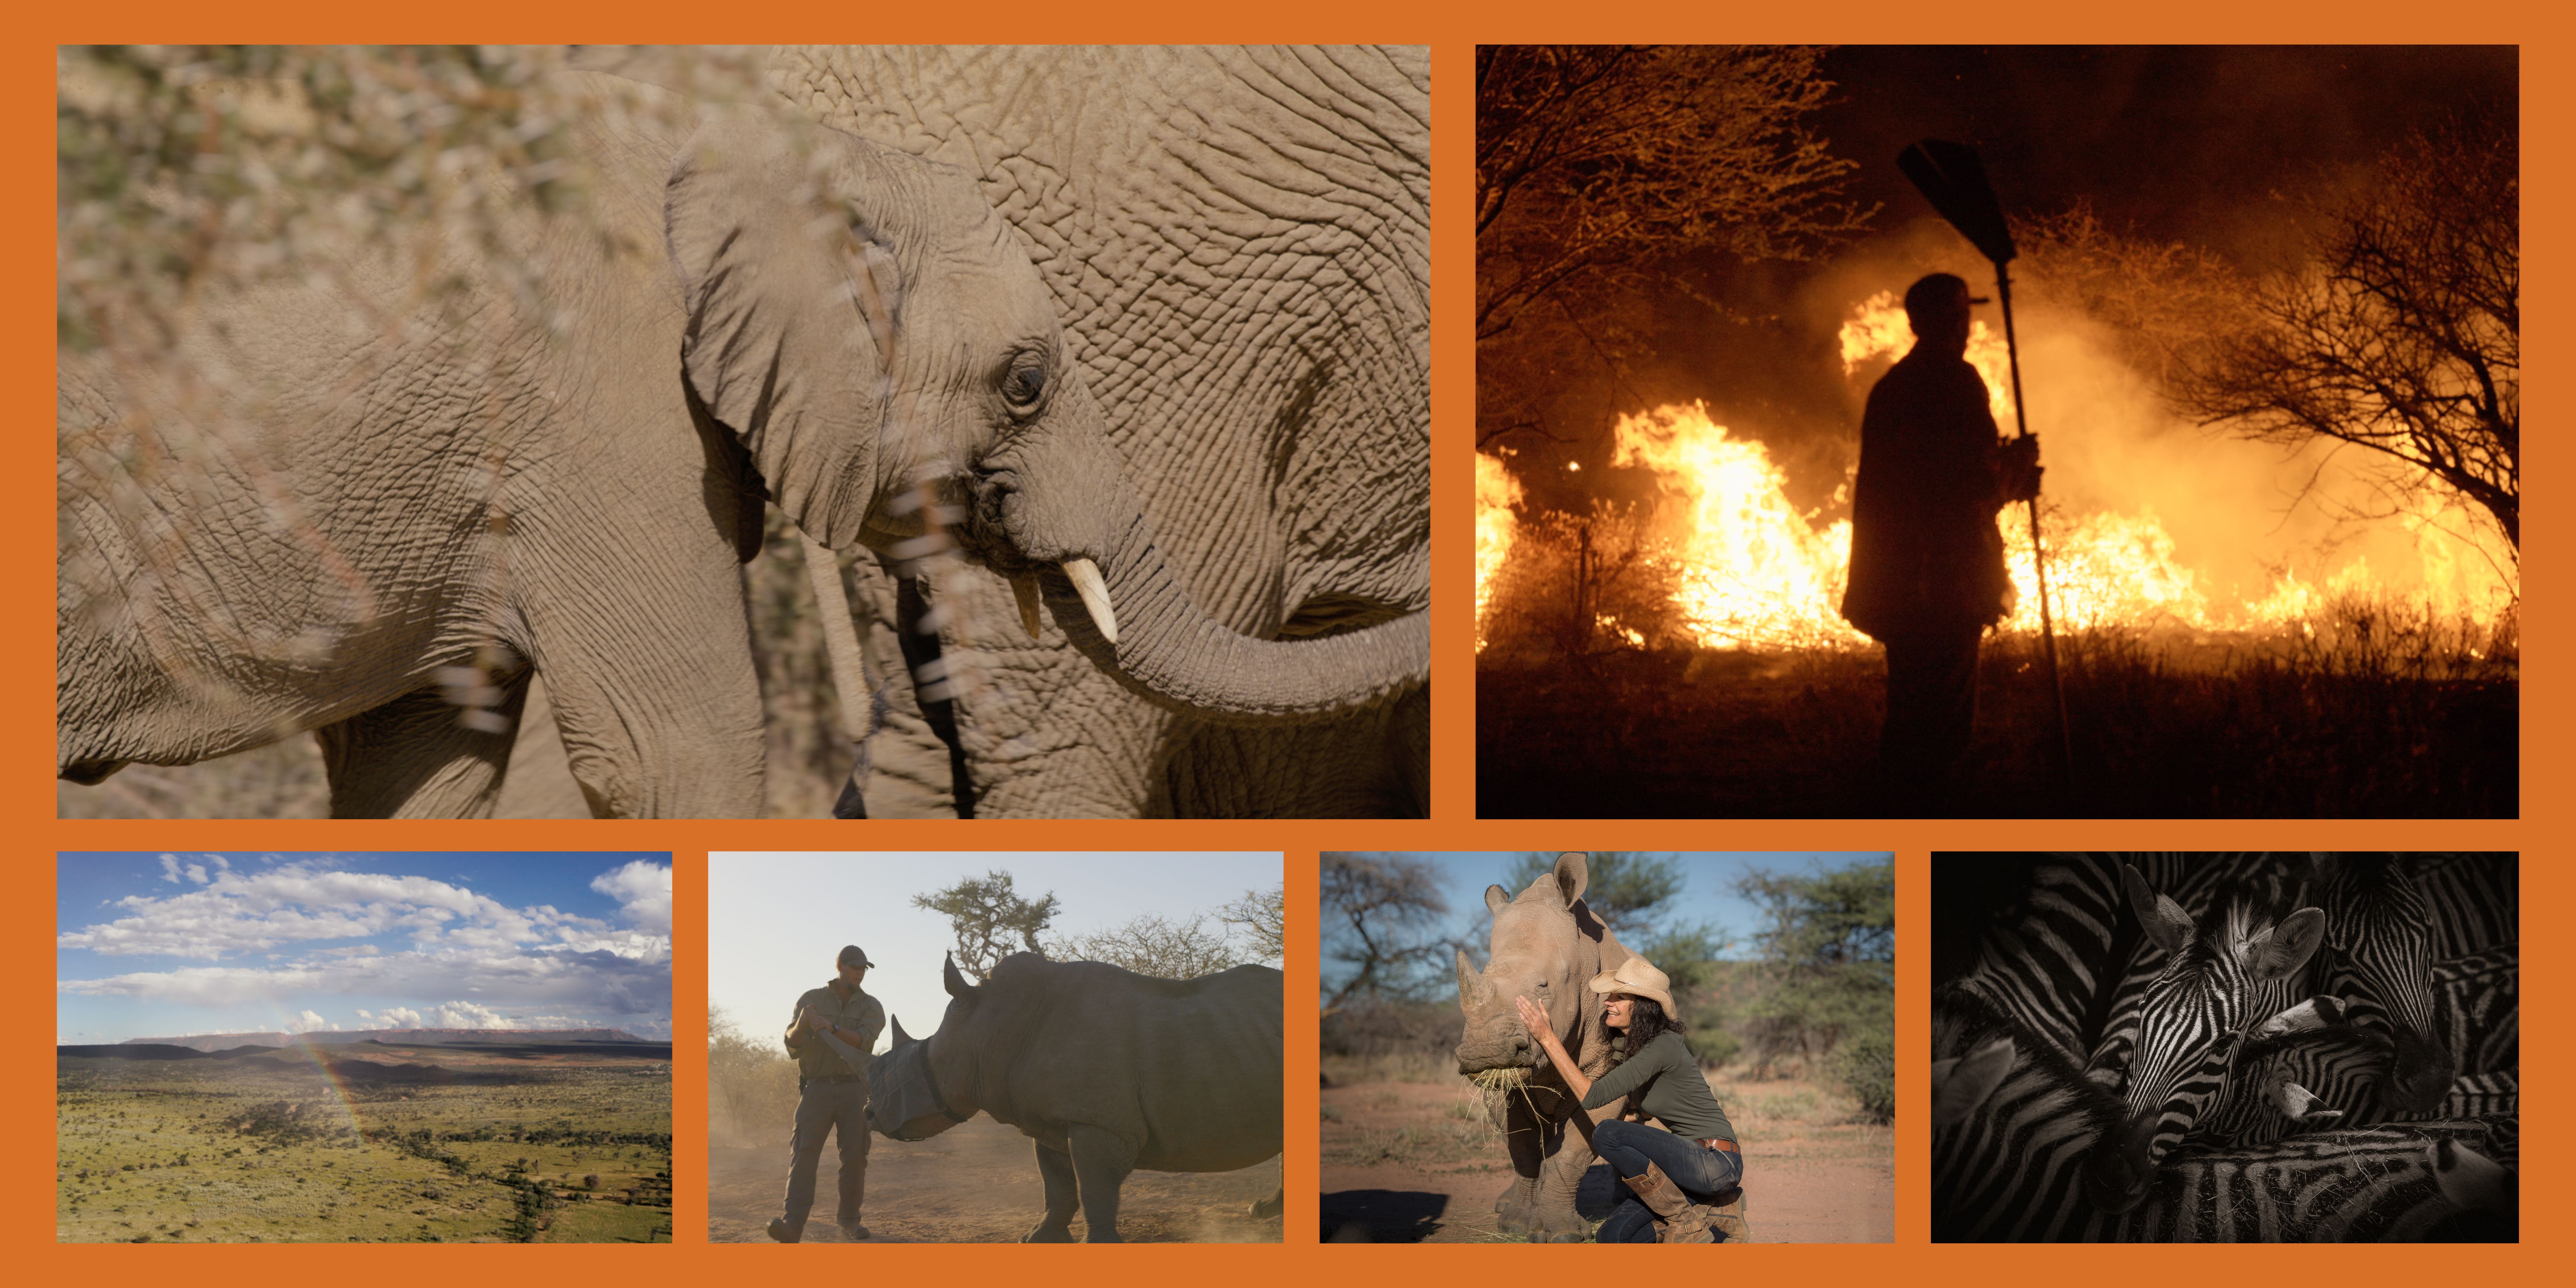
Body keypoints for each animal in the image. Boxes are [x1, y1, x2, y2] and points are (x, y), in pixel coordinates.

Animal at [854, 951, 1284, 1242]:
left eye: (908, 1073)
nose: (869, 1115)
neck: (989, 1029)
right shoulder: (1049, 1117)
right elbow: (1057, 1184)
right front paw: (1036, 1239)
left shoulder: (1099, 1121)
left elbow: (1094, 1186)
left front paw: (1099, 1246)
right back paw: (1263, 1213)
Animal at [1454, 851, 1634, 1242]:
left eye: (1544, 987)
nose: (1484, 1053)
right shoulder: (1506, 1081)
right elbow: (1522, 1147)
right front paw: (1515, 1225)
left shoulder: (1607, 1072)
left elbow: (1573, 1150)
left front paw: (1562, 1235)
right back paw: (1505, 1205)